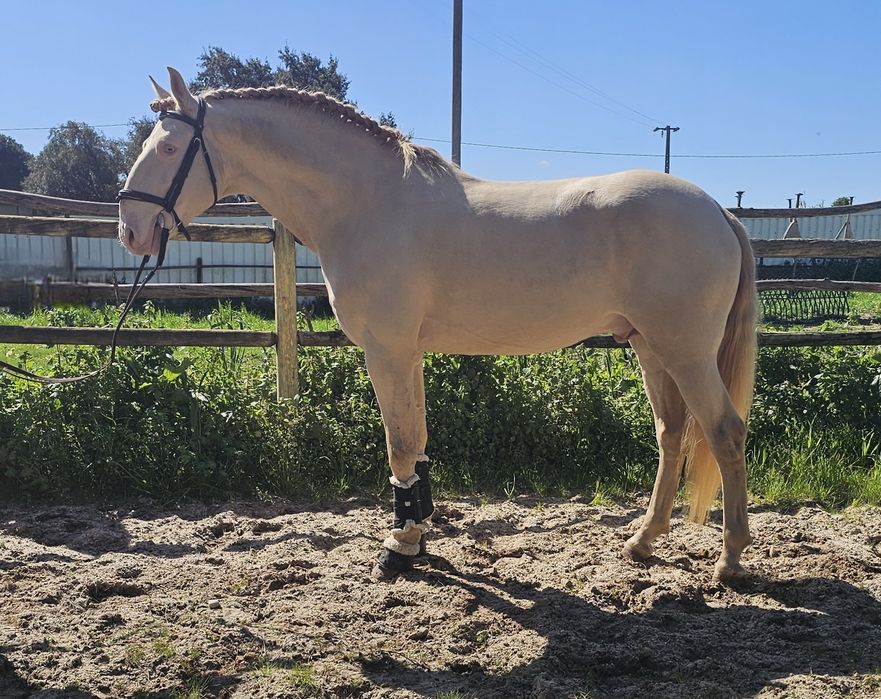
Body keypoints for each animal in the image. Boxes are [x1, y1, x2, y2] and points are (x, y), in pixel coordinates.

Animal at [118, 67, 757, 583]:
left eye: (170, 146)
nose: (130, 229)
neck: (368, 201)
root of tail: (717, 211)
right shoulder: (409, 353)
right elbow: (418, 444)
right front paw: (419, 535)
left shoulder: (387, 350)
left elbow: (400, 446)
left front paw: (399, 549)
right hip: (650, 347)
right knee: (672, 434)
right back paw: (643, 542)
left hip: (686, 351)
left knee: (724, 432)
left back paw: (730, 561)